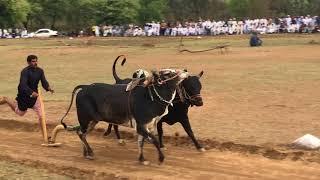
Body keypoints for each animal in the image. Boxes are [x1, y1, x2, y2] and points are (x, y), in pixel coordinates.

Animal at [60, 69, 189, 164]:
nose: (185, 71)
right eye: (168, 73)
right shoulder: (141, 125)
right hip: (85, 120)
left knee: (82, 134)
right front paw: (161, 158)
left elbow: (141, 142)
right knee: (81, 133)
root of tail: (85, 87)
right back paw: (90, 153)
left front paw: (142, 159)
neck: (151, 96)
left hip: (92, 121)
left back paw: (86, 153)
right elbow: (155, 140)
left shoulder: (148, 125)